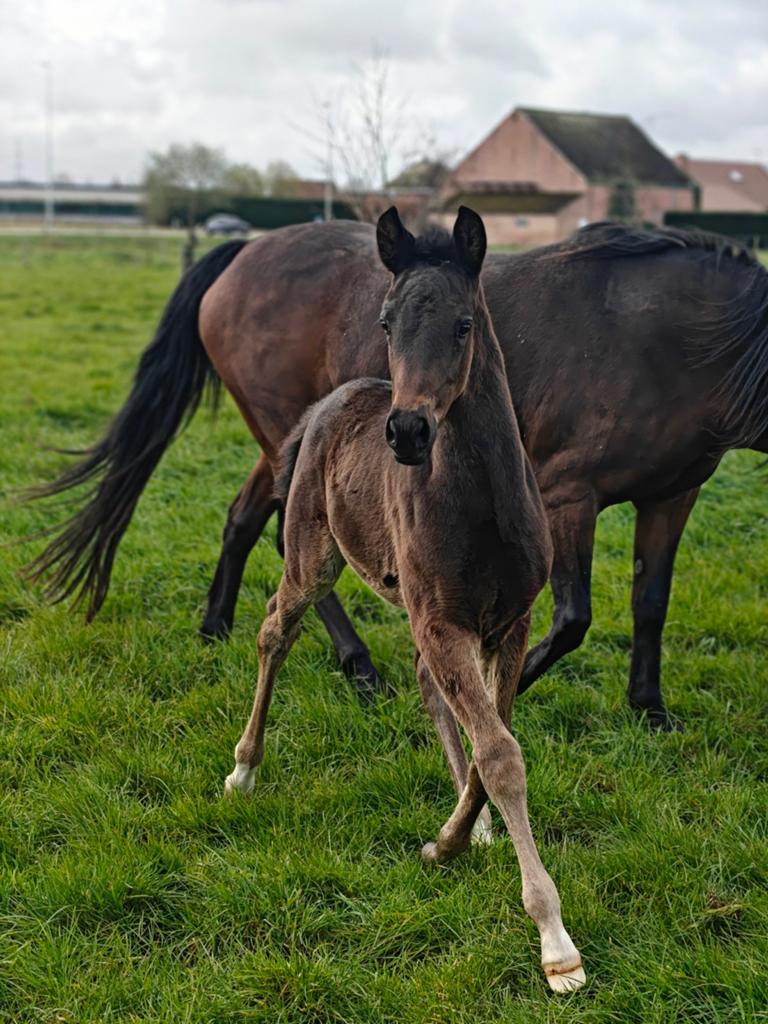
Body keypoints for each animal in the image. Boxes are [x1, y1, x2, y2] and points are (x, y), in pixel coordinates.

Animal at [27, 217, 768, 729]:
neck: (673, 341)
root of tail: (244, 253)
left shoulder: (674, 495)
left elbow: (650, 604)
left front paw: (649, 709)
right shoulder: (568, 498)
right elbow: (573, 619)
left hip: (289, 441)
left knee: (244, 520)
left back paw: (215, 628)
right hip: (290, 439)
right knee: (292, 543)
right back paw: (357, 665)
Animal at [223, 206, 585, 994]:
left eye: (463, 324)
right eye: (386, 321)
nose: (409, 431)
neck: (479, 504)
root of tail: (329, 403)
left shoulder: (508, 623)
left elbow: (491, 744)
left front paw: (455, 838)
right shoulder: (443, 619)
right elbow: (500, 753)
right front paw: (555, 942)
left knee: (427, 688)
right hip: (313, 557)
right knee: (273, 630)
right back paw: (243, 768)